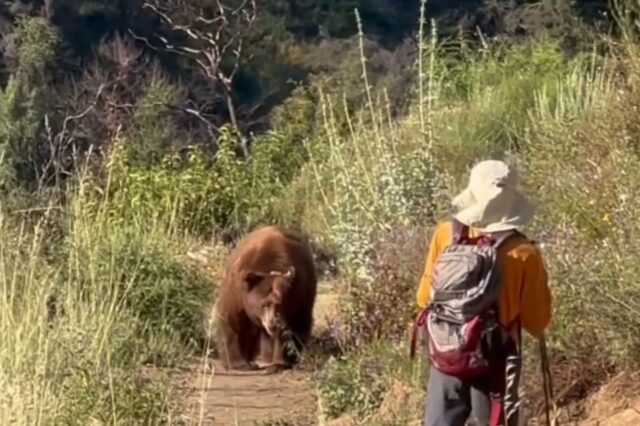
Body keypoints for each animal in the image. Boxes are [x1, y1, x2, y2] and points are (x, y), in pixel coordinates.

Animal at [214, 225, 318, 374]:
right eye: (264, 304)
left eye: (280, 304)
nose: (272, 323)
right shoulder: (238, 290)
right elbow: (231, 319)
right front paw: (237, 363)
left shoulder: (300, 295)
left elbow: (291, 330)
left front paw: (281, 362)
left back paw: (270, 359)